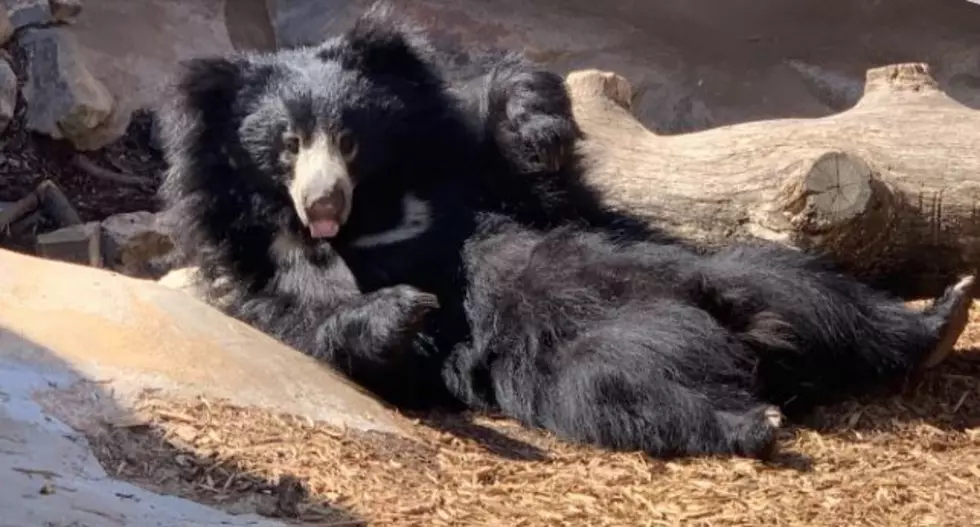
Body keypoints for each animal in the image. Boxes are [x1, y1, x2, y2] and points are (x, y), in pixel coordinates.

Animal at [155, 1, 660, 408]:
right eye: (290, 144)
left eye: (349, 141)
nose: (322, 204)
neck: (369, 210)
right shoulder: (263, 254)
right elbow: (308, 317)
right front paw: (404, 308)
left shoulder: (458, 169)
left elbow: (540, 189)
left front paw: (538, 128)